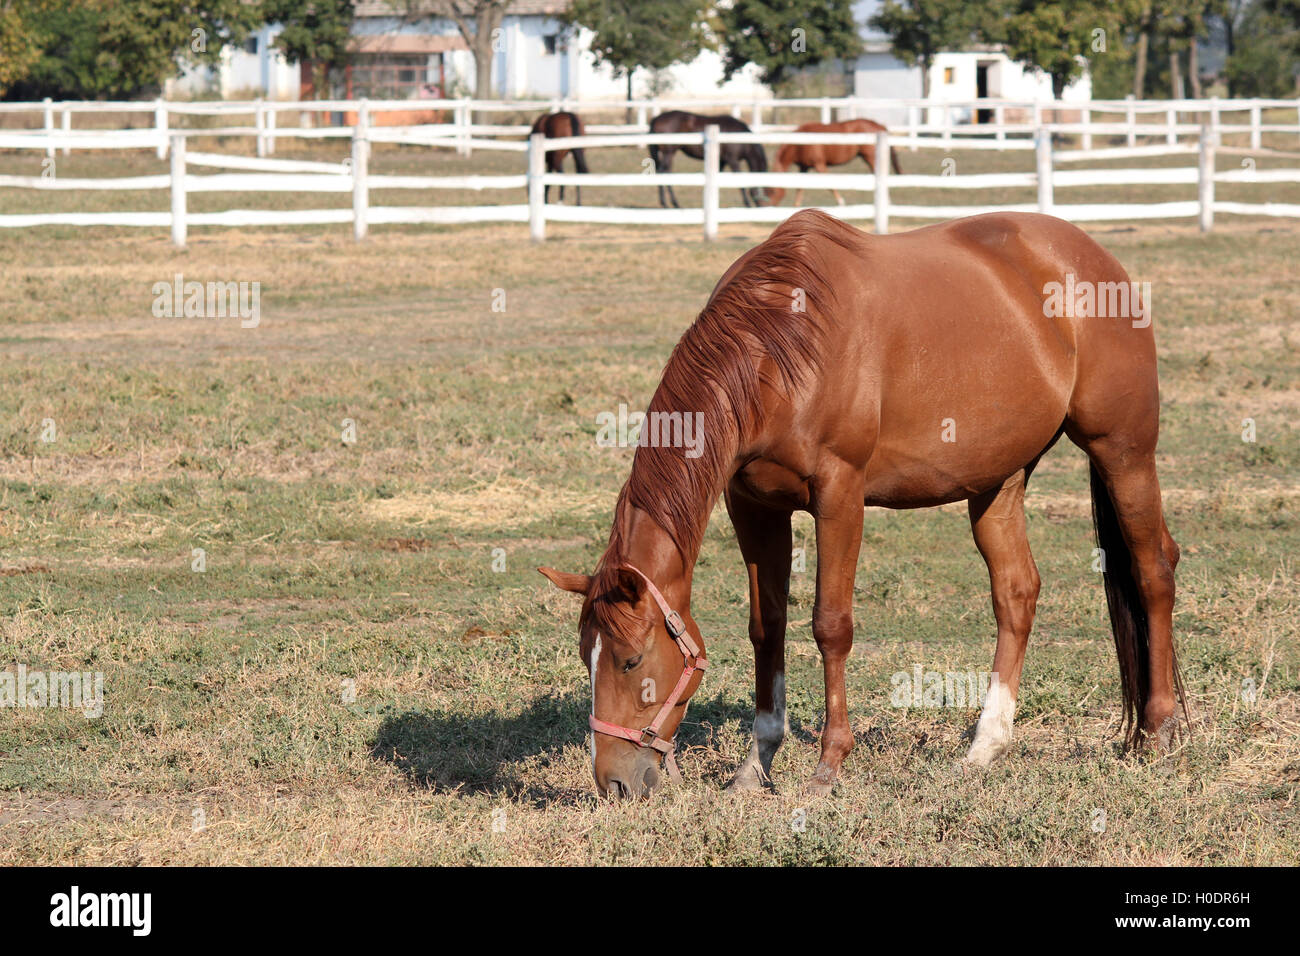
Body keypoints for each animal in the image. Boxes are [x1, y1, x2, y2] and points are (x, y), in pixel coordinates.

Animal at [540, 209, 1186, 800]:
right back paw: (985, 746)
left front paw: (828, 765)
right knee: (1016, 593)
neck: (783, 348)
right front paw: (756, 765)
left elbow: (831, 625)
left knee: (1153, 569)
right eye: (585, 657)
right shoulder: (753, 504)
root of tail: (1094, 260)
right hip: (998, 481)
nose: (614, 784)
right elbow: (766, 628)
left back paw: (1158, 731)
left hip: (1123, 451)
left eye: (630, 661)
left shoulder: (840, 495)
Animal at [767, 119, 902, 207]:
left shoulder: (819, 165)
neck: (799, 145)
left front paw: (841, 202)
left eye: (772, 191)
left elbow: (830, 183)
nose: (768, 205)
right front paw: (796, 206)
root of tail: (880, 126)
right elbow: (800, 187)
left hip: (871, 158)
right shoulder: (804, 167)